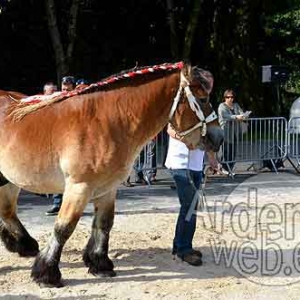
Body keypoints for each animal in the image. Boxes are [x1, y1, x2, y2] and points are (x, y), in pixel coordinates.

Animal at [0, 60, 224, 286]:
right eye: (203, 99)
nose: (219, 137)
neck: (107, 121)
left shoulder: (108, 188)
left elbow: (104, 223)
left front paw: (99, 264)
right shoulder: (79, 187)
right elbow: (64, 228)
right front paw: (47, 273)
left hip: (9, 179)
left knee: (7, 211)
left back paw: (23, 244)